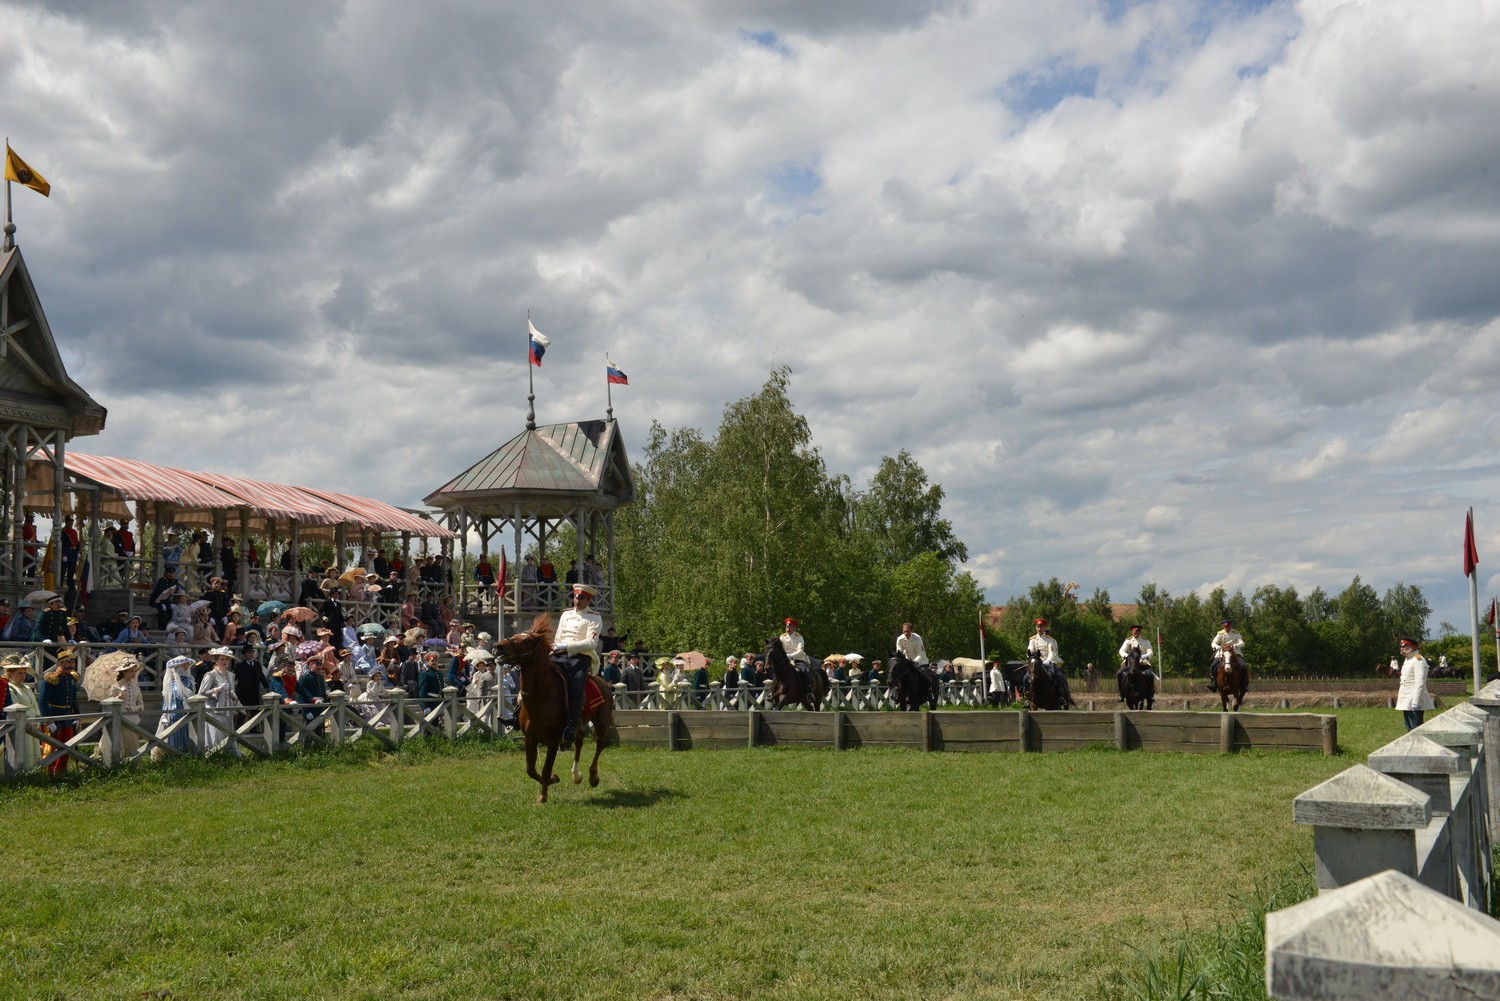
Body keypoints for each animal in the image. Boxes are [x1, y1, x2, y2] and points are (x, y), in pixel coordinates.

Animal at [492, 615, 609, 804]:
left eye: (526, 640)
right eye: (515, 635)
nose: (497, 646)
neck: (541, 697)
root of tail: (603, 682)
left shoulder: (554, 741)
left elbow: (546, 769)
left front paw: (543, 796)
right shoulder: (530, 738)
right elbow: (531, 770)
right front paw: (553, 780)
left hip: (601, 722)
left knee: (600, 744)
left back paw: (593, 777)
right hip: (579, 725)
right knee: (579, 742)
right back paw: (576, 775)